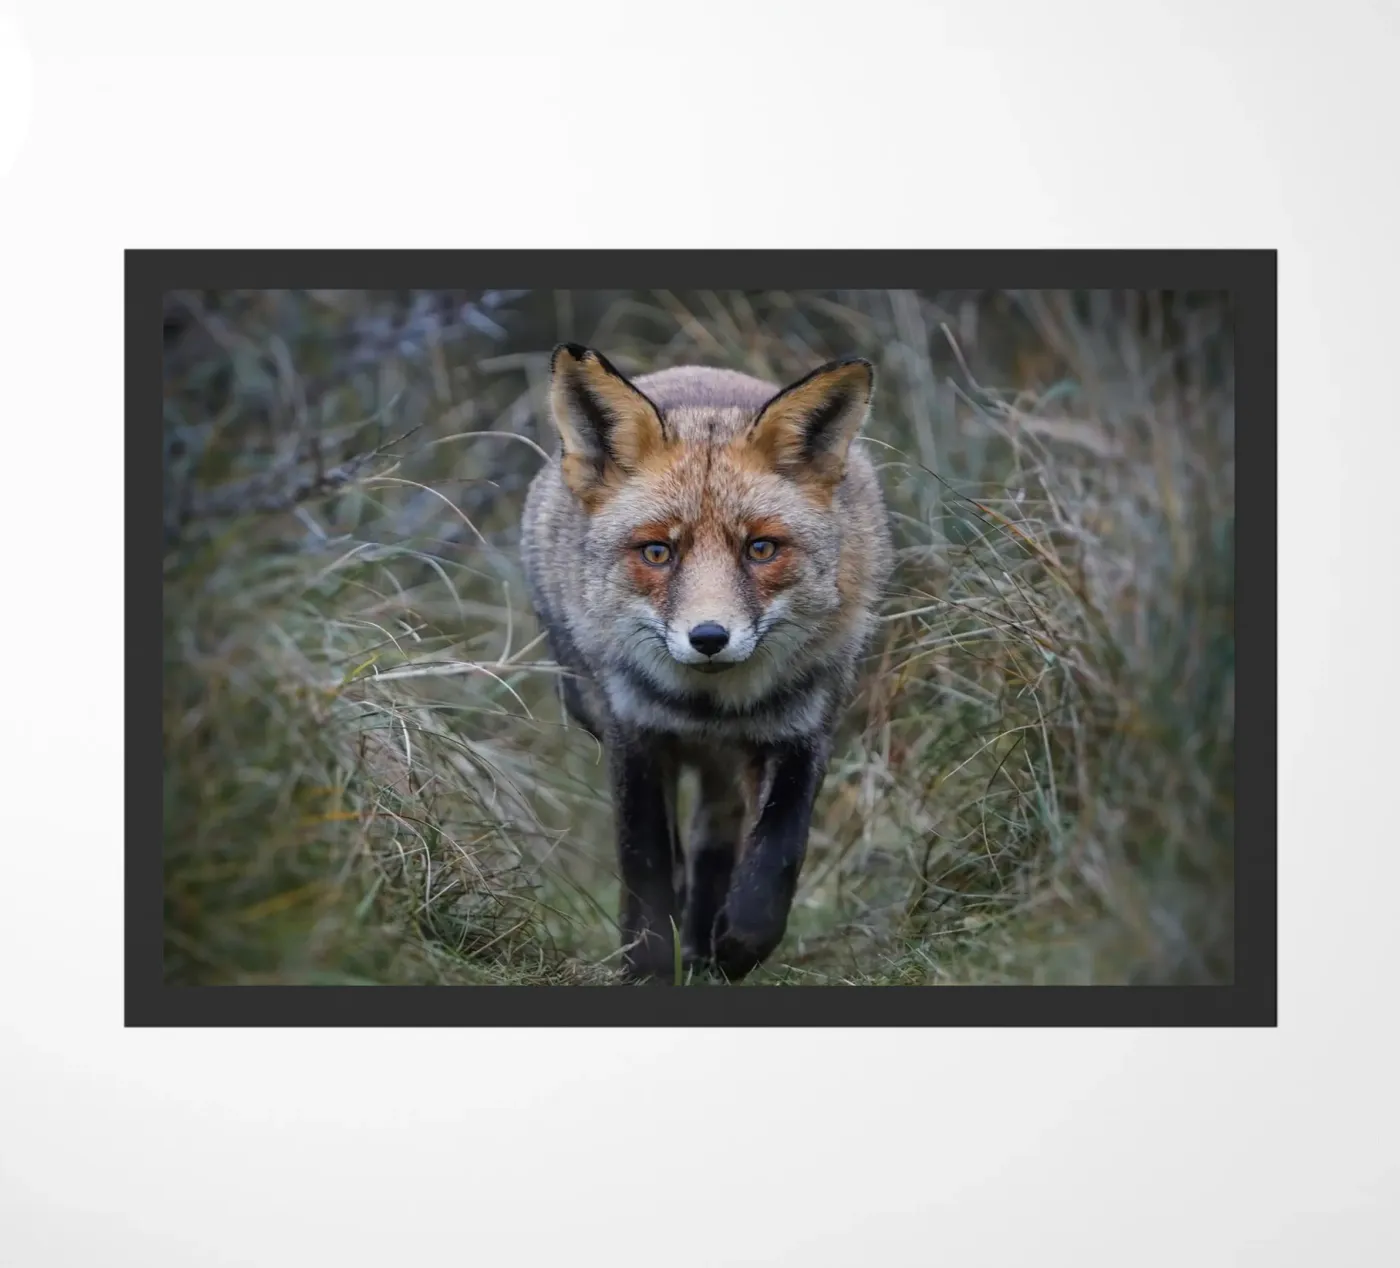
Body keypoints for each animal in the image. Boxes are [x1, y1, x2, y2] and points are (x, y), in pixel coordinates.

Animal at [520, 343, 894, 982]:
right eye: (657, 552)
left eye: (761, 548)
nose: (710, 637)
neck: (710, 706)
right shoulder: (635, 733)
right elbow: (646, 863)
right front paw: (648, 965)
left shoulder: (803, 730)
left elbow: (777, 857)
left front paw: (737, 944)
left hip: (732, 765)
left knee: (713, 838)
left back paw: (702, 943)